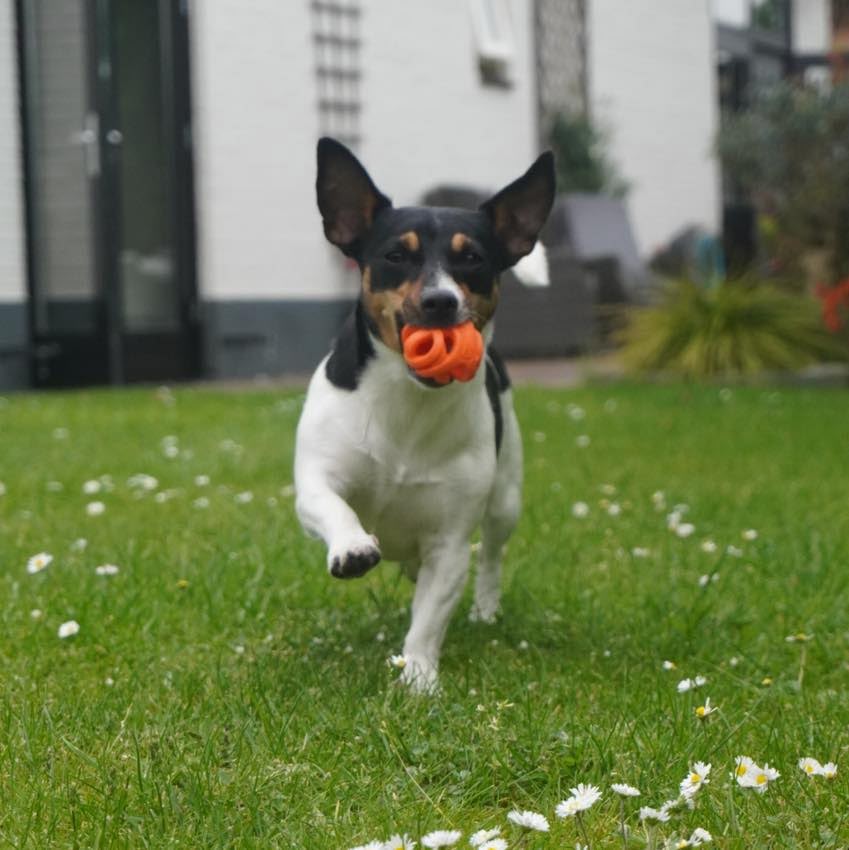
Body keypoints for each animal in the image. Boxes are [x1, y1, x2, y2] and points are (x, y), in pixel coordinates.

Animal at [294, 136, 556, 684]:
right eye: (396, 255)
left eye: (472, 258)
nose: (440, 301)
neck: (407, 400)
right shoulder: (316, 481)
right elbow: (332, 504)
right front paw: (351, 547)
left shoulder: (450, 542)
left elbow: (430, 617)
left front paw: (417, 677)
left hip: (506, 496)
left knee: (492, 554)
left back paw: (485, 609)